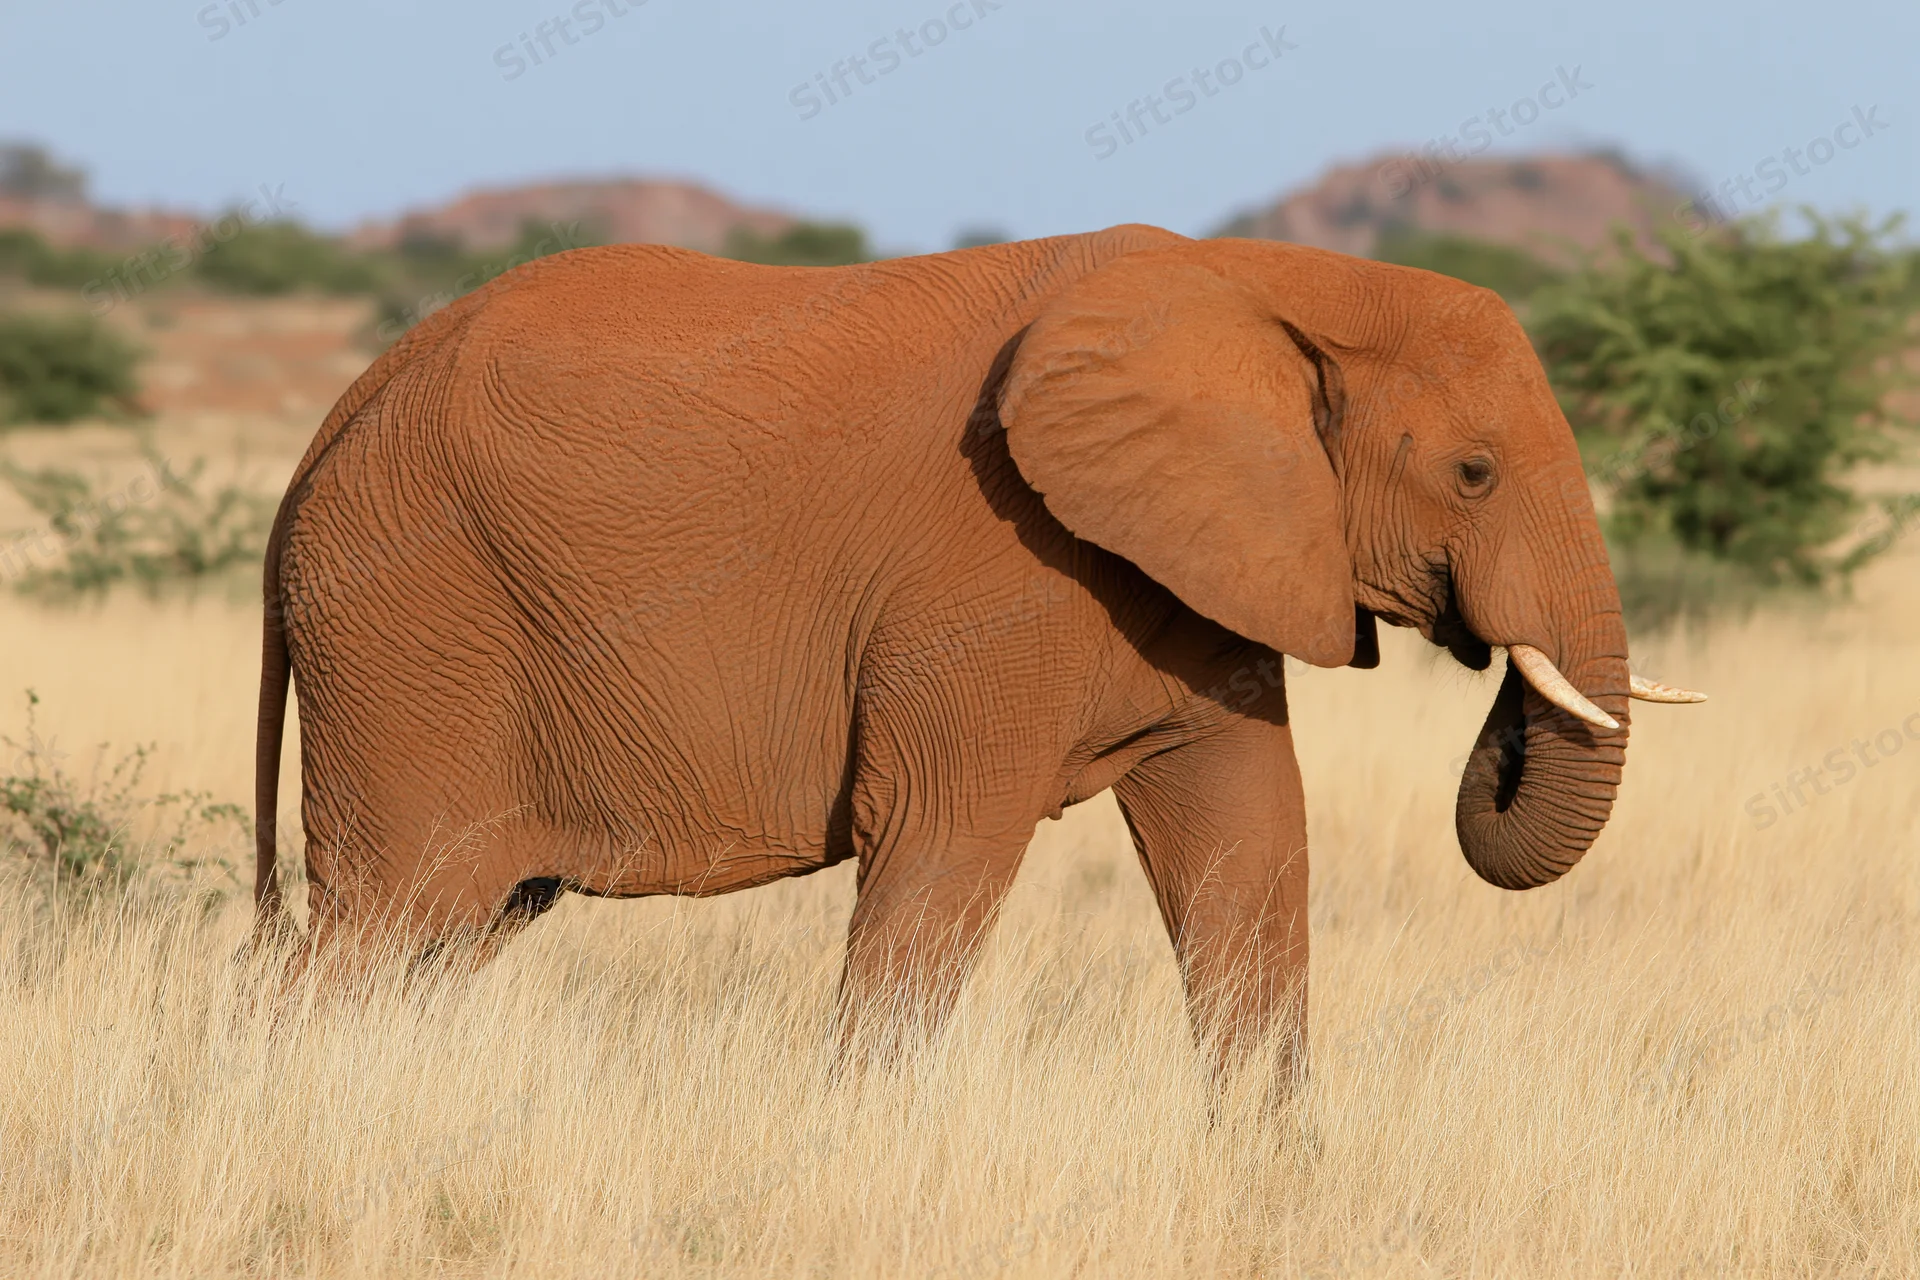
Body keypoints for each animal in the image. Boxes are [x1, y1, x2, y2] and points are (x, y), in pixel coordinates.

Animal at [253, 223, 1702, 1070]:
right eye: (1473, 472)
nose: (1493, 683)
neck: (1264, 278)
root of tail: (334, 418)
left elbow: (1251, 848)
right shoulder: (989, 577)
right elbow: (939, 843)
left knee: (453, 933)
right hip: (406, 629)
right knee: (379, 926)